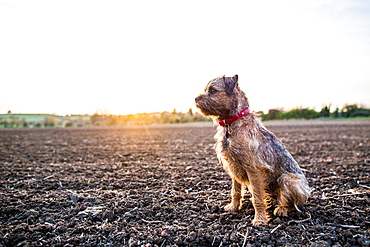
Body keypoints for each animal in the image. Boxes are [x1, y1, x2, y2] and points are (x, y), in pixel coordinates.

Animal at [195, 75, 310, 226]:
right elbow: (235, 191)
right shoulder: (233, 166)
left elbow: (257, 198)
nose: (196, 98)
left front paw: (260, 219)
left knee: (293, 204)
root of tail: (308, 191)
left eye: (213, 90)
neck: (233, 122)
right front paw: (233, 207)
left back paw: (282, 209)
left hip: (288, 179)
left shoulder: (253, 169)